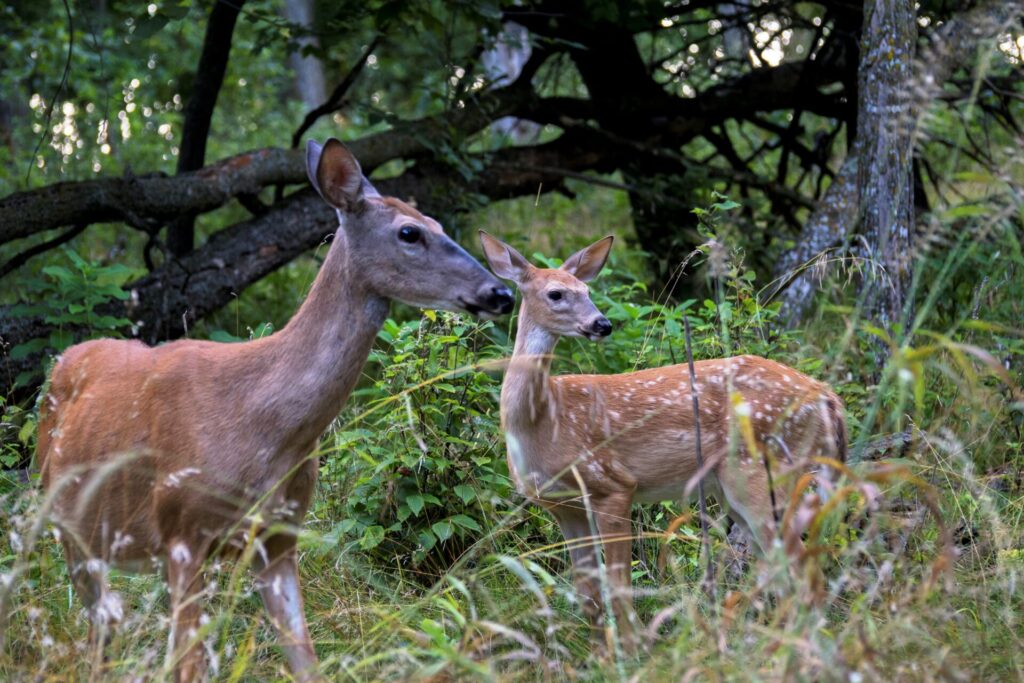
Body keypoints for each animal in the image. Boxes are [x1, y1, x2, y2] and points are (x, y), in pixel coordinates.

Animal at [35, 138, 515, 682]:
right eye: (409, 232)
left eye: (436, 222)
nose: (500, 292)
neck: (263, 429)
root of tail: (64, 360)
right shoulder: (181, 530)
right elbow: (189, 664)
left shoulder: (280, 537)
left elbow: (306, 660)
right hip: (63, 521)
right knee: (100, 622)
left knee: (108, 624)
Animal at [479, 232, 846, 653]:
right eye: (556, 293)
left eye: (587, 290)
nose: (602, 324)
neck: (544, 423)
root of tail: (828, 397)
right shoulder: (564, 506)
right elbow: (588, 592)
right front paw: (600, 657)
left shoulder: (613, 484)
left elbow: (619, 585)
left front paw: (634, 650)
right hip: (740, 490)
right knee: (784, 570)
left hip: (764, 472)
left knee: (804, 573)